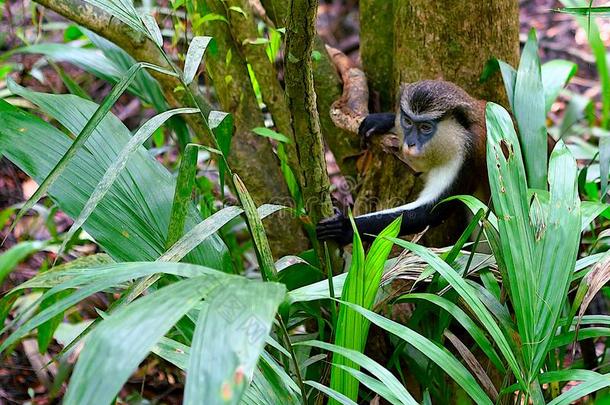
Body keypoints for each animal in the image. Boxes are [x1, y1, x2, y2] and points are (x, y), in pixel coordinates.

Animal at [316, 78, 486, 243]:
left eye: (425, 127)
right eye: (408, 122)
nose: (410, 143)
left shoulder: (464, 158)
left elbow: (428, 212)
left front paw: (344, 227)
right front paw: (383, 120)